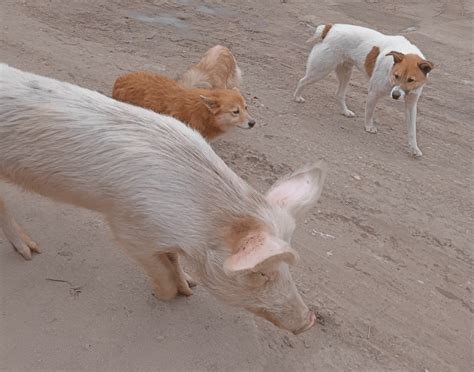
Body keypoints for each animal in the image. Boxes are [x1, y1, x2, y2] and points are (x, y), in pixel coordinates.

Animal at [294, 24, 436, 156]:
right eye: (396, 76)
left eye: (411, 80)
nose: (395, 96)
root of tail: (330, 28)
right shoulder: (374, 92)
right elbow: (370, 112)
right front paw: (369, 127)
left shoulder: (411, 104)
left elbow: (412, 130)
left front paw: (414, 148)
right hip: (320, 70)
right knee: (302, 81)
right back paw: (297, 97)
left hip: (345, 72)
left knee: (339, 94)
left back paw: (345, 111)